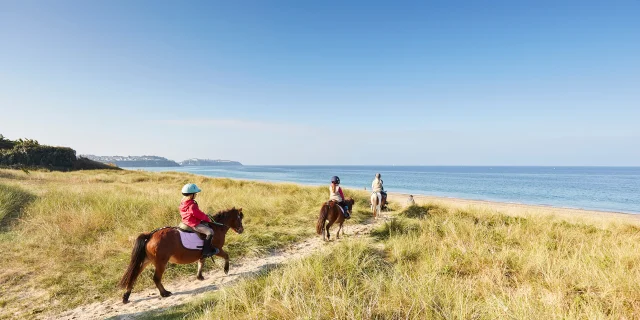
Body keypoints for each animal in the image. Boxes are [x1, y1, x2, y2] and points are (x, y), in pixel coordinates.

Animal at [116, 208, 244, 302]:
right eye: (239, 218)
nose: (242, 230)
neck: (216, 227)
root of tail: (150, 235)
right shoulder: (218, 249)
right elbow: (226, 256)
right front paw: (226, 270)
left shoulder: (203, 253)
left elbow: (201, 263)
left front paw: (199, 276)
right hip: (161, 262)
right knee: (156, 278)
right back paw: (164, 293)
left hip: (146, 260)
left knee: (134, 275)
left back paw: (126, 296)